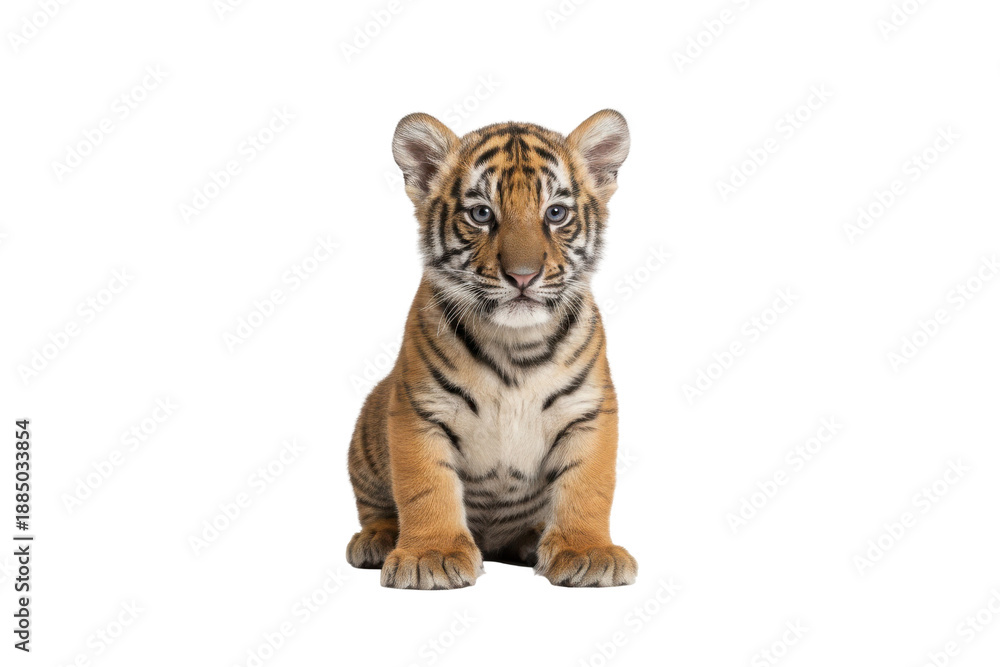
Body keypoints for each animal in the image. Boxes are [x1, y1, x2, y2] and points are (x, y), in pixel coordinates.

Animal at [346, 110, 636, 589]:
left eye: (555, 213)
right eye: (482, 214)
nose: (523, 276)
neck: (515, 345)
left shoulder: (588, 411)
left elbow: (588, 486)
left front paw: (587, 551)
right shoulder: (418, 410)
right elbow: (425, 487)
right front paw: (432, 554)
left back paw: (533, 539)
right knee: (376, 507)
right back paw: (379, 539)